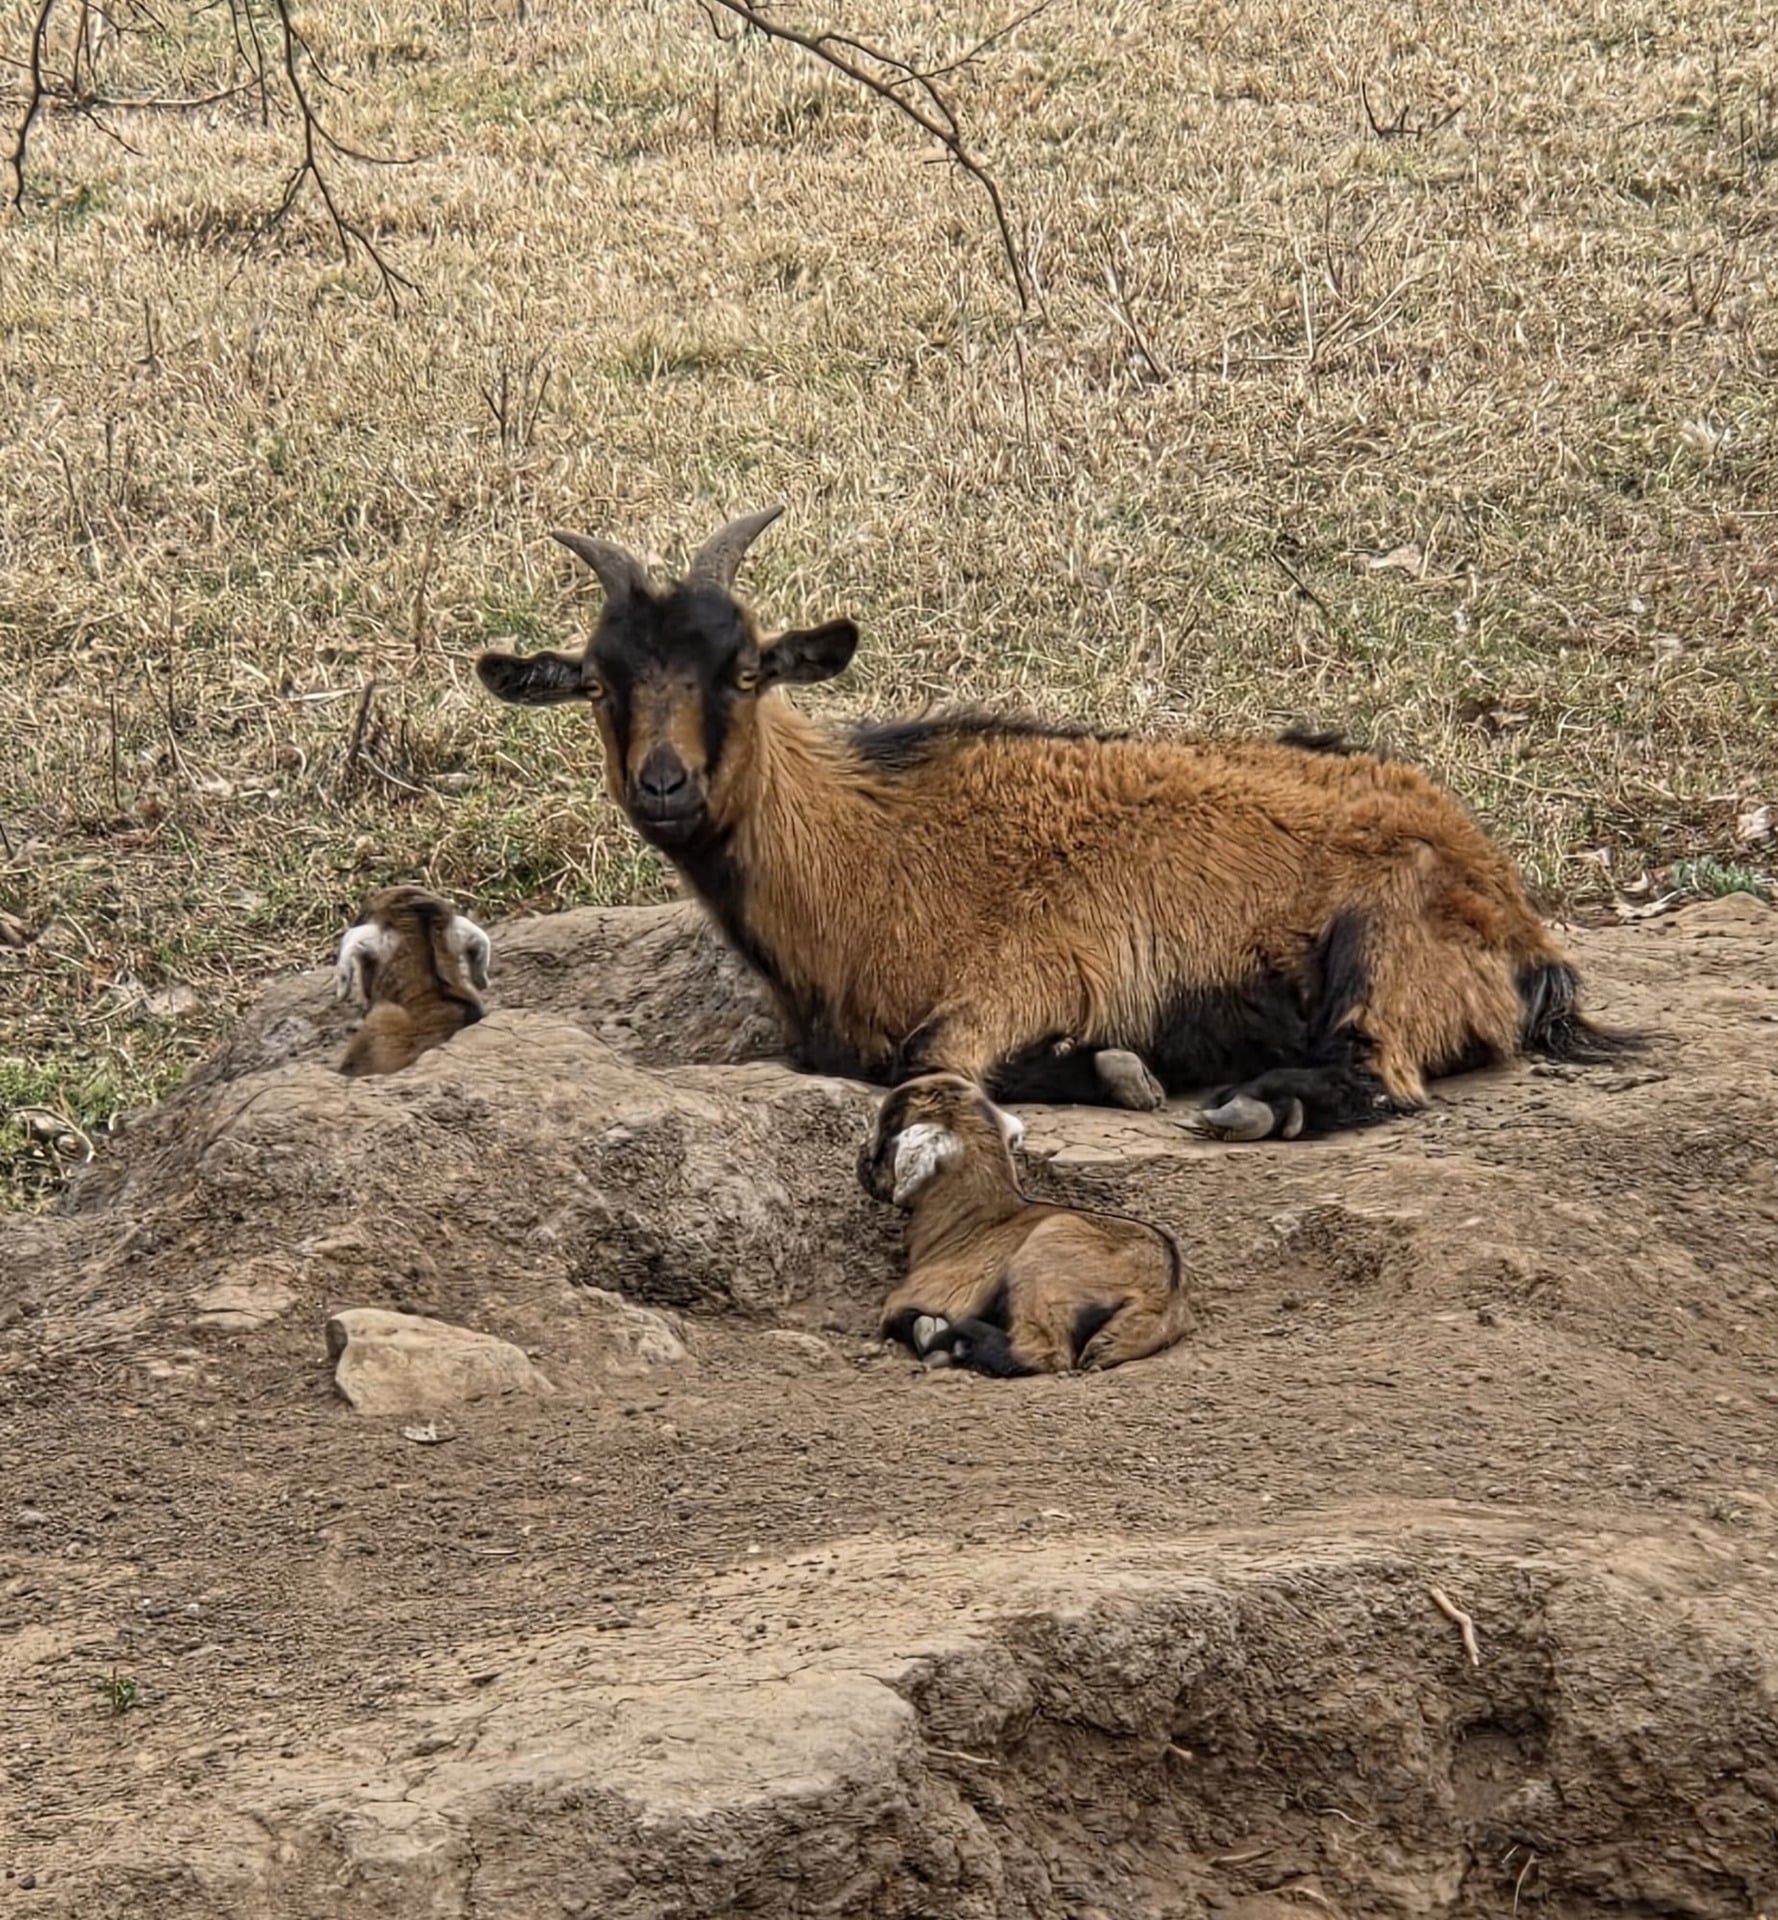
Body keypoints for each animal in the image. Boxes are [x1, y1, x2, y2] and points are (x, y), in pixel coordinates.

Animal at [476, 507, 1635, 1141]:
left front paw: (1119, 1071)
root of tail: (1515, 912)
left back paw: (1256, 1103)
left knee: (1382, 1073)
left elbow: (927, 1061)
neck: (870, 848)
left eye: (747, 670)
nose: (665, 784)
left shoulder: (1027, 967)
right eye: (597, 684)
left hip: (1384, 941)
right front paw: (1115, 1069)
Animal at [858, 1073, 1193, 1376]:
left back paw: (955, 1341)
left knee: (1044, 1353)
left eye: (887, 1138)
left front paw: (929, 1328)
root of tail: (1162, 1294)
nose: (861, 1158)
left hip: (1046, 1253)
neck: (972, 1219)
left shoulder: (932, 1294)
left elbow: (894, 1313)